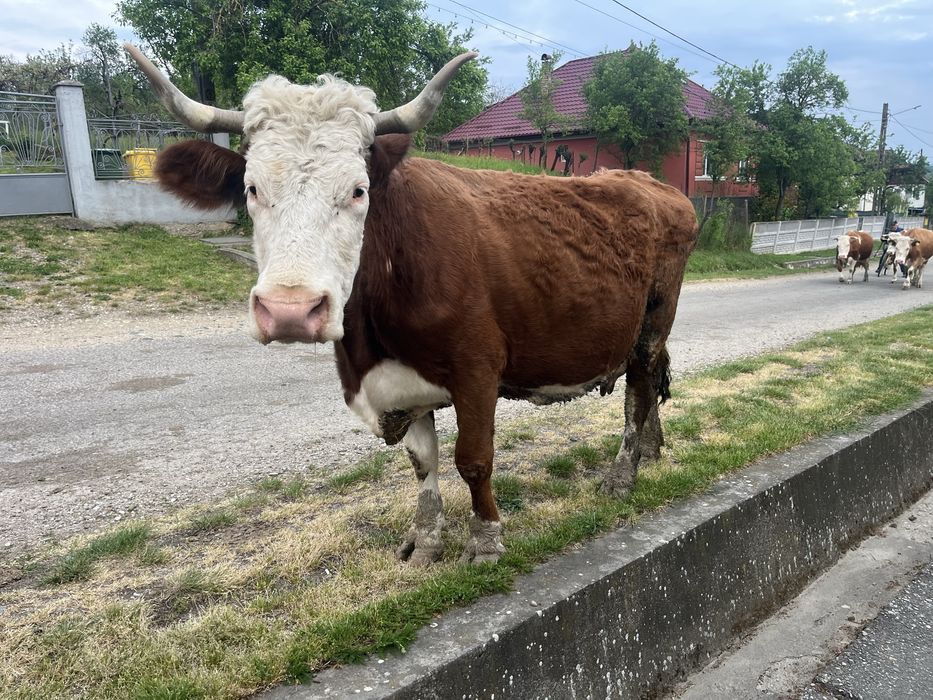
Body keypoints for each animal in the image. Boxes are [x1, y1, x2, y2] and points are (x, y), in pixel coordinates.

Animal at [126, 44, 699, 565]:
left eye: (358, 191)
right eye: (250, 188)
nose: (291, 310)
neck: (370, 343)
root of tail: (650, 183)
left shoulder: (477, 370)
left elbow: (474, 459)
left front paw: (485, 542)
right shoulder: (399, 385)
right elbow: (424, 464)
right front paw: (425, 543)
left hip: (653, 322)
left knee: (638, 393)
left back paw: (622, 476)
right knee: (647, 389)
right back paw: (652, 452)